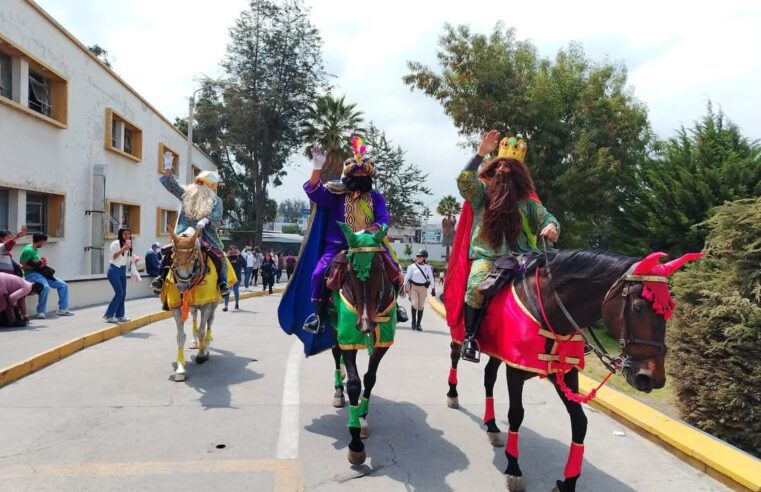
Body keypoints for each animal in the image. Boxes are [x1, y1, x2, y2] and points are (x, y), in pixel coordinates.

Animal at [160, 227, 220, 380]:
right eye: (173, 257)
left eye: (193, 259)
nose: (182, 286)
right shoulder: (176, 307)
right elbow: (181, 336)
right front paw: (180, 369)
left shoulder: (206, 304)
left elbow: (202, 331)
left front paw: (201, 354)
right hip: (193, 306)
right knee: (194, 317)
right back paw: (195, 342)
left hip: (214, 304)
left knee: (210, 323)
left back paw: (207, 347)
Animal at [332, 223, 400, 466]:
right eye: (351, 272)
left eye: (379, 269)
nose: (365, 325)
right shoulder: (347, 337)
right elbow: (354, 383)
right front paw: (355, 444)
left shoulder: (383, 342)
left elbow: (370, 378)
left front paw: (362, 415)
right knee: (336, 355)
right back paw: (338, 392)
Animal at [446, 250, 700, 492]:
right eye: (638, 308)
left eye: (669, 311)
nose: (652, 378)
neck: (548, 311)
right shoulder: (515, 369)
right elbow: (516, 415)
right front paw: (514, 469)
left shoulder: (565, 373)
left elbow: (580, 422)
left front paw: (568, 482)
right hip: (461, 334)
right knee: (456, 358)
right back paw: (453, 394)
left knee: (489, 377)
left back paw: (492, 426)